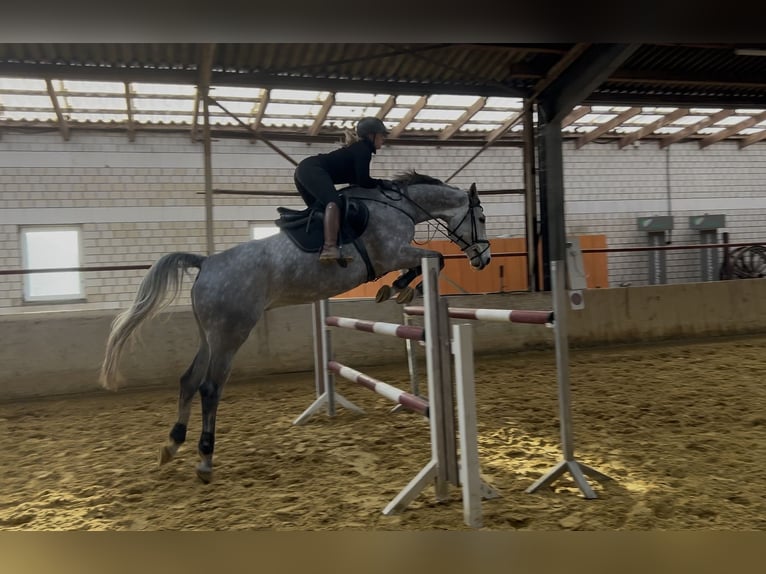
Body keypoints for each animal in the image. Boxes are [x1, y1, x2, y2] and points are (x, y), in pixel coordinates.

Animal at [99, 171, 491, 482]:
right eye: (482, 216)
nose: (484, 259)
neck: (398, 207)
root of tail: (206, 262)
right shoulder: (395, 252)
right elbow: (435, 257)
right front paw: (399, 288)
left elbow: (427, 262)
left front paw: (395, 289)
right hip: (231, 333)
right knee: (210, 387)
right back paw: (205, 459)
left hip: (208, 335)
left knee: (188, 380)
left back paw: (172, 445)